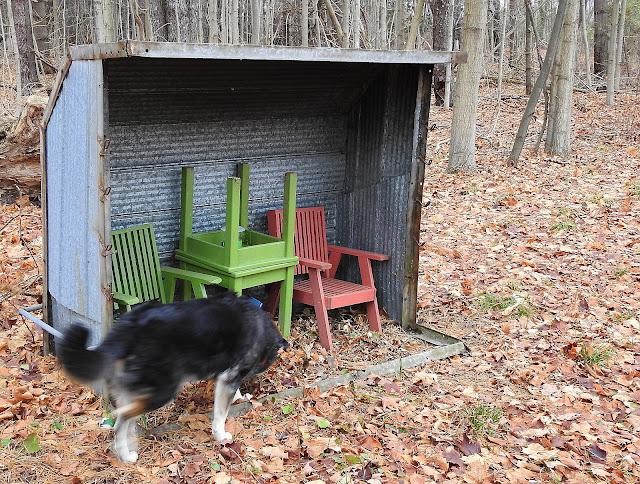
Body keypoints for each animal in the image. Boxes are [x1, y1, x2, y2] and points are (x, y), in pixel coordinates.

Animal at [57, 291, 288, 463]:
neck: (263, 329)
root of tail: (130, 325)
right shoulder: (230, 378)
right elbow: (221, 415)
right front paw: (221, 436)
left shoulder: (226, 379)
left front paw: (241, 397)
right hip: (163, 392)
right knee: (122, 417)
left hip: (132, 389)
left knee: (123, 420)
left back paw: (125, 451)